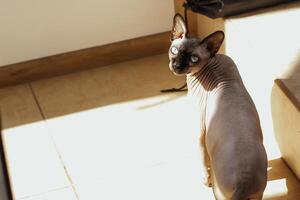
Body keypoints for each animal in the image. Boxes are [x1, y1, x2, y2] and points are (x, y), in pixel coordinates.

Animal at [168, 13, 268, 199]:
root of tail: (244, 182)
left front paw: (204, 179)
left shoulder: (199, 131)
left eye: (193, 58)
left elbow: (202, 159)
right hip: (258, 193)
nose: (176, 66)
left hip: (219, 191)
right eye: (175, 50)